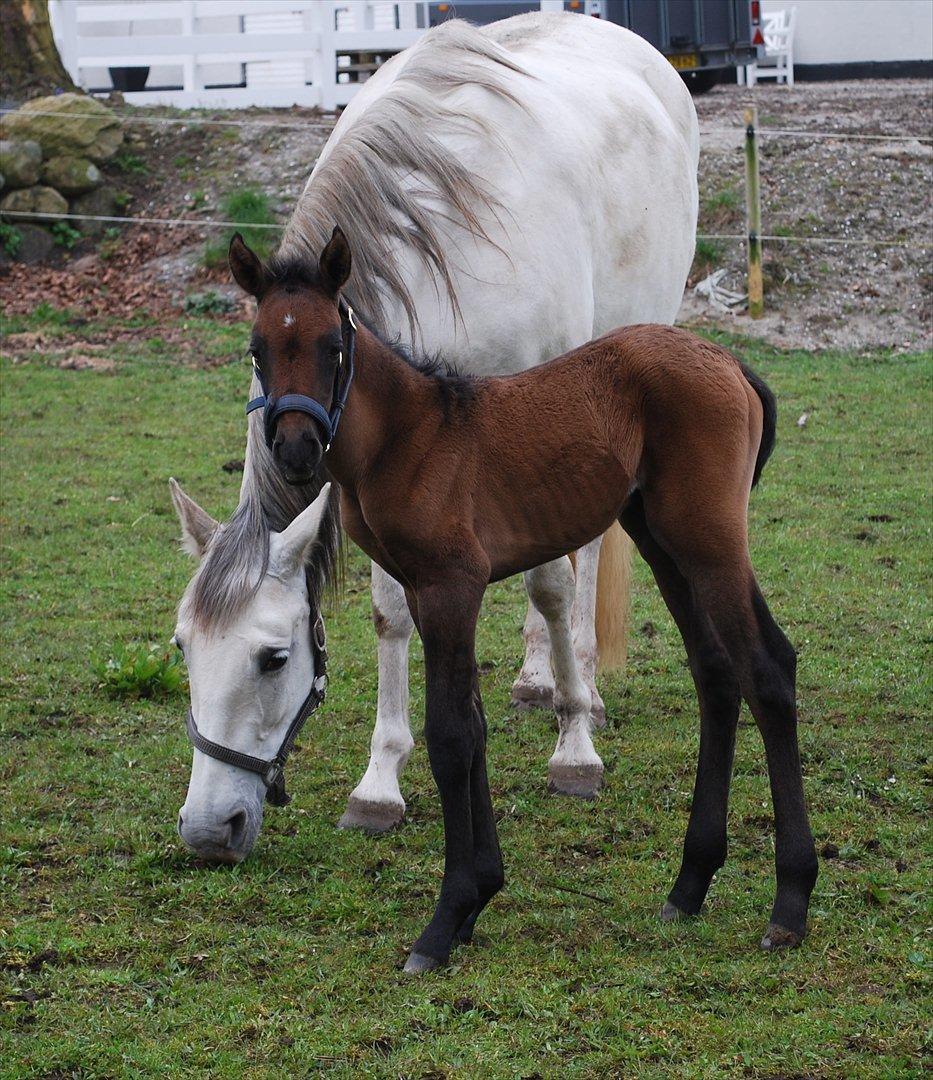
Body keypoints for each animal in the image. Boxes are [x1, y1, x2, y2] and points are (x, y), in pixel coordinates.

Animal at [172, 12, 691, 859]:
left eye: (272, 658)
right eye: (183, 649)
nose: (209, 829)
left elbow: (552, 585)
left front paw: (574, 748)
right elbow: (393, 611)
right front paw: (379, 783)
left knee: (579, 558)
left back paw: (579, 683)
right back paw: (536, 677)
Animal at [231, 232, 816, 976]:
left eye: (332, 345)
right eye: (258, 349)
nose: (296, 448)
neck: (409, 436)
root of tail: (729, 361)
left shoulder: (452, 585)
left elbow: (451, 735)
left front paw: (442, 922)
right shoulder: (425, 590)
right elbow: (474, 727)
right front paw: (479, 895)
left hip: (708, 540)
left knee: (767, 670)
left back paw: (789, 902)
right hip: (660, 538)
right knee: (715, 673)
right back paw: (688, 885)